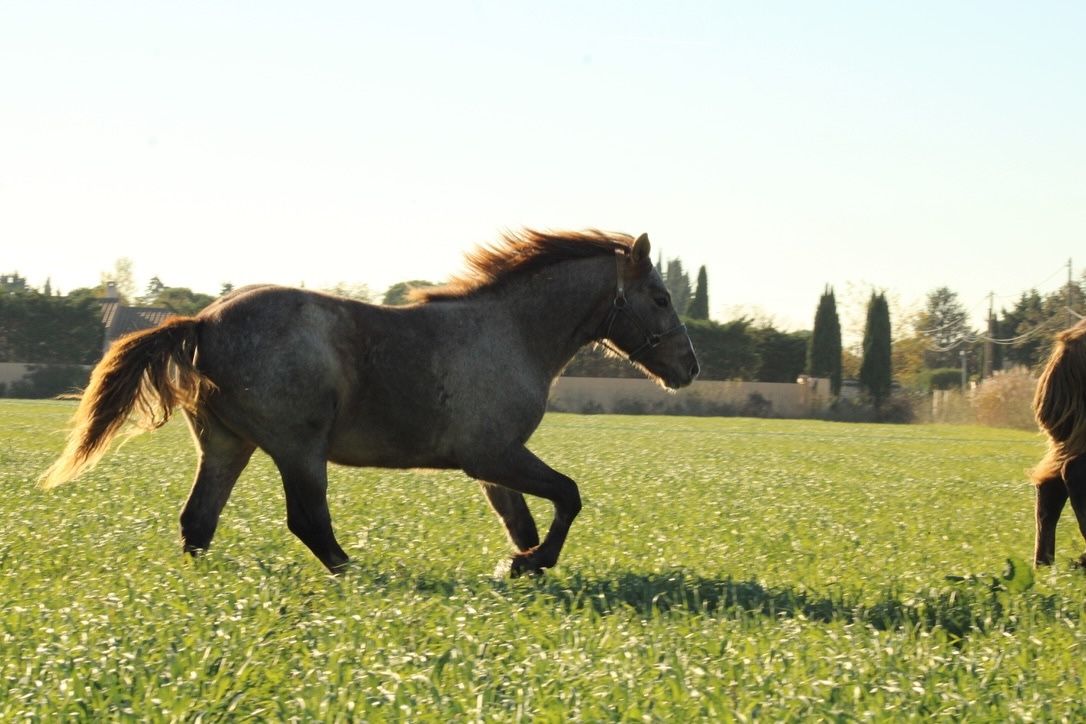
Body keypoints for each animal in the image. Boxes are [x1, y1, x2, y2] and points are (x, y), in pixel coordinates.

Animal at [38, 229, 699, 573]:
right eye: (661, 297)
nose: (689, 368)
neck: (511, 332)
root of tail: (202, 321)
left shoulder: (495, 465)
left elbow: (524, 519)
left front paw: (521, 563)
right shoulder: (493, 455)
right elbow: (568, 496)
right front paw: (531, 563)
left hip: (229, 445)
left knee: (199, 521)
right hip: (299, 449)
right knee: (307, 521)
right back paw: (355, 574)